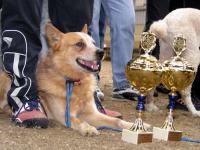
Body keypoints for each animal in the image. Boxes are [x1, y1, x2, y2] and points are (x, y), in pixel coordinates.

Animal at [0, 23, 136, 136]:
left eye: (93, 43)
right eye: (79, 44)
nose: (101, 52)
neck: (75, 82)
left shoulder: (92, 114)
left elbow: (117, 121)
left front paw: (133, 126)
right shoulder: (64, 115)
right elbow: (79, 121)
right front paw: (87, 127)